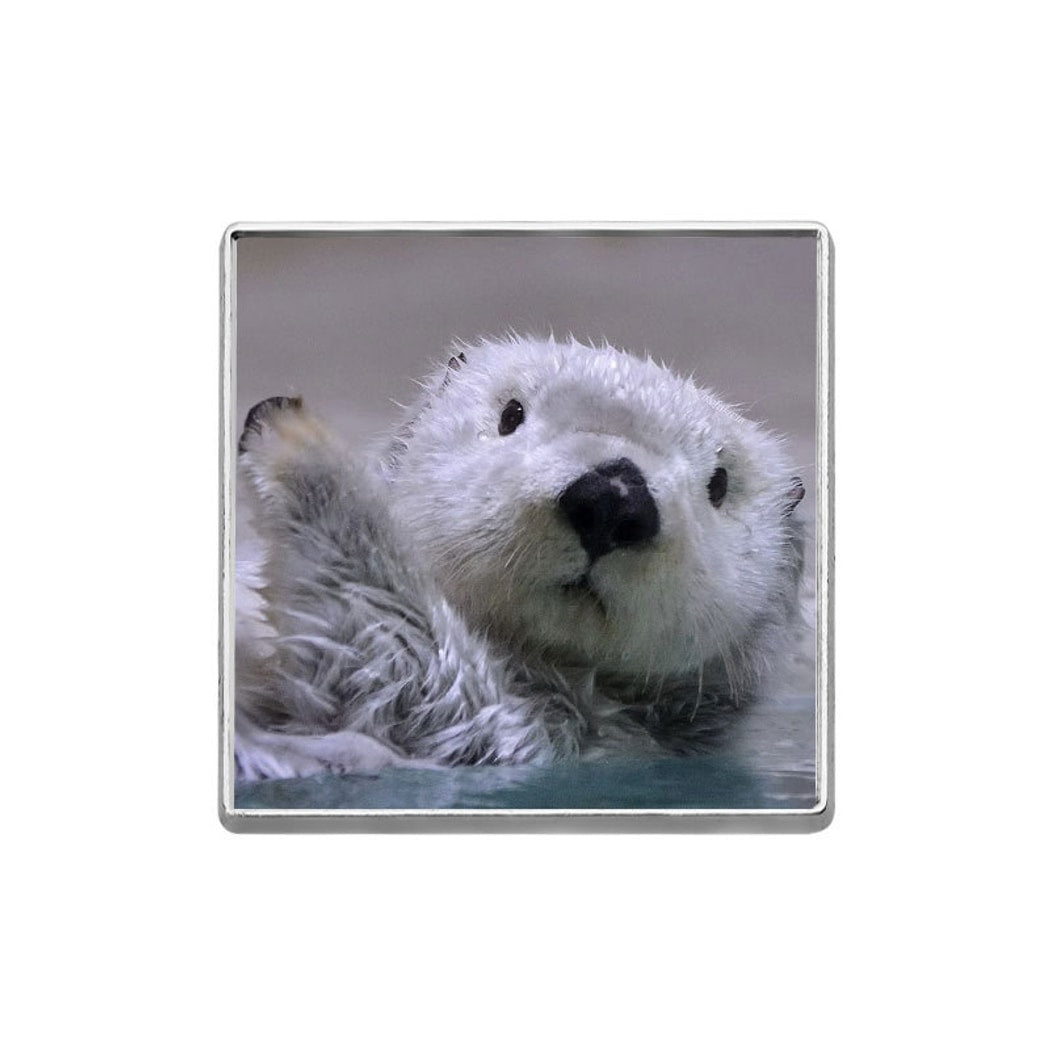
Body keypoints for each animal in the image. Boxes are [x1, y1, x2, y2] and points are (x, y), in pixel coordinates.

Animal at [234, 335, 805, 781]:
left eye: (720, 484)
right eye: (512, 415)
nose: (612, 497)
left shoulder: (552, 730)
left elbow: (409, 665)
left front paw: (300, 444)